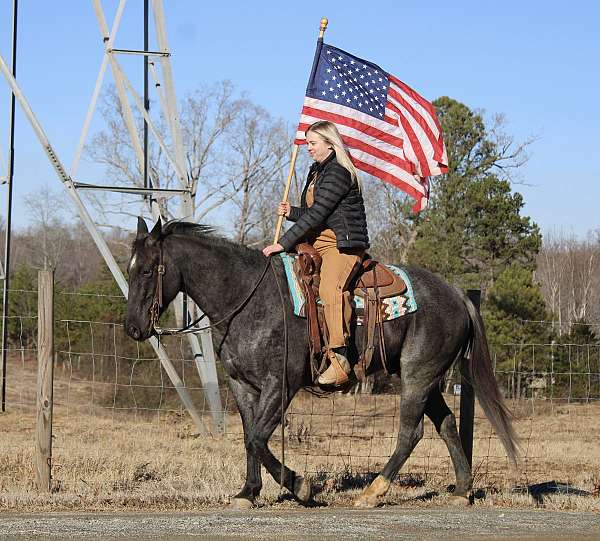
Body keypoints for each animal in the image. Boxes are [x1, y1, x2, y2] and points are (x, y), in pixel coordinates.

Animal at [125, 218, 516, 506]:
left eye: (147, 270)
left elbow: (258, 439)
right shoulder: (242, 385)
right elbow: (250, 436)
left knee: (412, 431)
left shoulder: (281, 383)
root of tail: (459, 295)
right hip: (428, 378)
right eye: (128, 270)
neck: (249, 297)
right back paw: (462, 490)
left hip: (418, 375)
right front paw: (248, 493)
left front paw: (300, 486)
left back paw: (373, 492)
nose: (133, 328)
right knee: (447, 424)